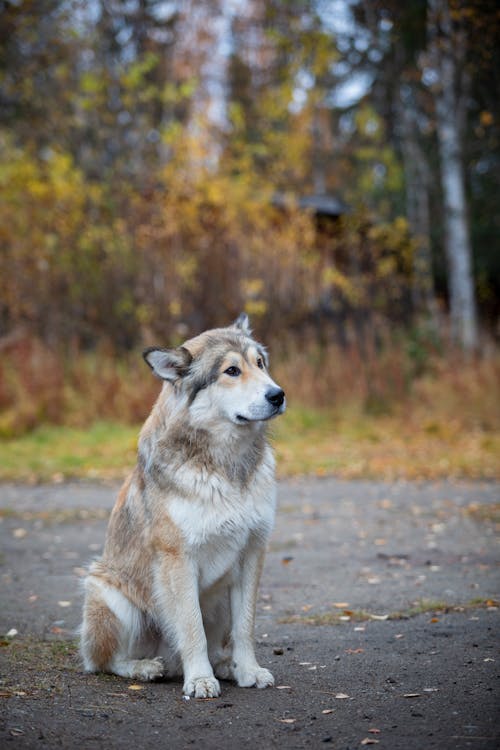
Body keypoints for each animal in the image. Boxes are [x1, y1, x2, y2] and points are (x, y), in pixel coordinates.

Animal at [80, 316, 288, 700]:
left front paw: (248, 670)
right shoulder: (178, 559)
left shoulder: (252, 552)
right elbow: (191, 628)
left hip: (219, 600)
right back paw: (147, 667)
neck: (224, 465)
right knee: (104, 661)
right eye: (231, 371)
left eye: (260, 364)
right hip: (111, 596)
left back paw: (226, 666)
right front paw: (200, 680)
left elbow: (245, 627)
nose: (277, 395)